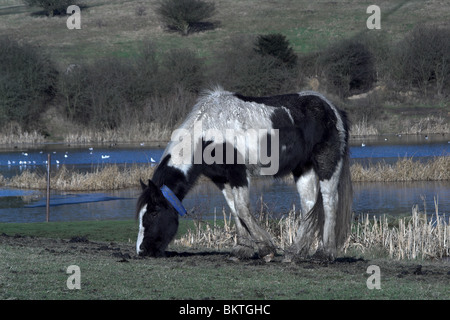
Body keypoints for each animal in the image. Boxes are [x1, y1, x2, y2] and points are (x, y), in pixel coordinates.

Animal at [135, 87, 354, 260]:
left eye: (153, 213)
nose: (142, 250)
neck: (207, 134)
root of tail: (333, 109)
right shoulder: (222, 179)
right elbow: (234, 210)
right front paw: (243, 249)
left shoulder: (238, 173)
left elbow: (242, 208)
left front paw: (266, 248)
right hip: (303, 168)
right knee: (308, 204)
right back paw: (295, 253)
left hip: (327, 165)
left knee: (329, 201)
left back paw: (325, 253)